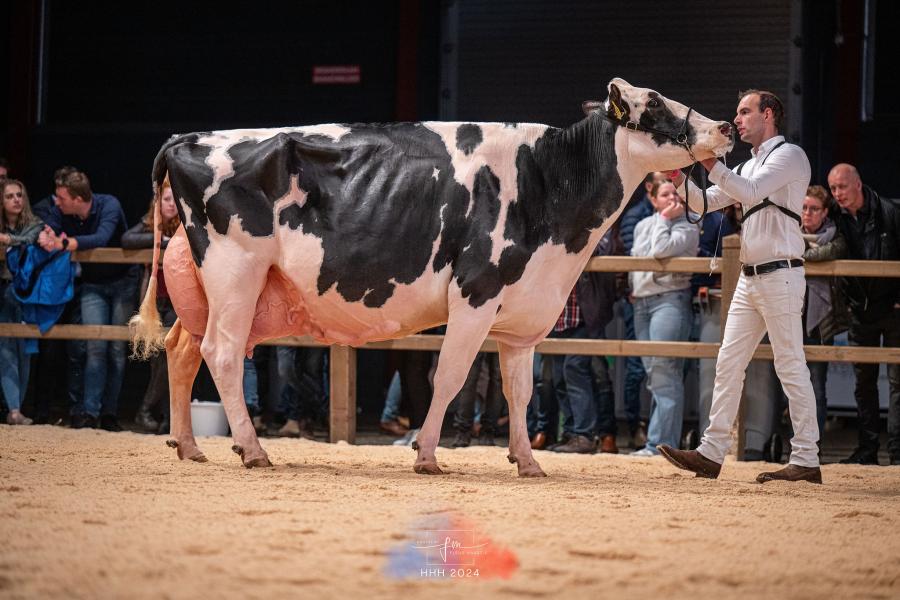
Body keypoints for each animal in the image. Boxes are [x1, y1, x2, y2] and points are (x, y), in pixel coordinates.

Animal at [132, 77, 732, 476]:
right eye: (656, 105)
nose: (726, 126)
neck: (548, 181)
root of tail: (190, 138)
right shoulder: (476, 292)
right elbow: (449, 376)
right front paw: (426, 455)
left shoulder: (523, 317)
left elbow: (518, 390)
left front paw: (527, 461)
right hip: (236, 272)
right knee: (222, 353)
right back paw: (253, 450)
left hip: (209, 288)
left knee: (182, 350)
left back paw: (190, 446)